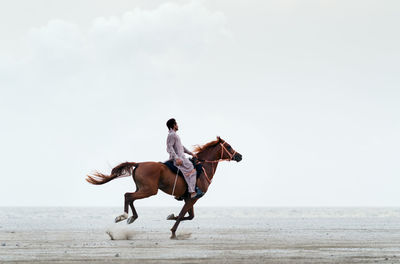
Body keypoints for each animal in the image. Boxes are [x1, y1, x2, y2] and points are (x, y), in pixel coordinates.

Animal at [86, 137, 242, 238]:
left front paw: (171, 216)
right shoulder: (193, 198)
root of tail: (139, 164)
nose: (239, 156)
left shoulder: (188, 198)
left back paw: (131, 217)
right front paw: (173, 231)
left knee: (130, 197)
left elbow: (189, 216)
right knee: (128, 196)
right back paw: (123, 216)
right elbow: (183, 214)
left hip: (142, 189)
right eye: (228, 146)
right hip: (149, 190)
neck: (202, 168)